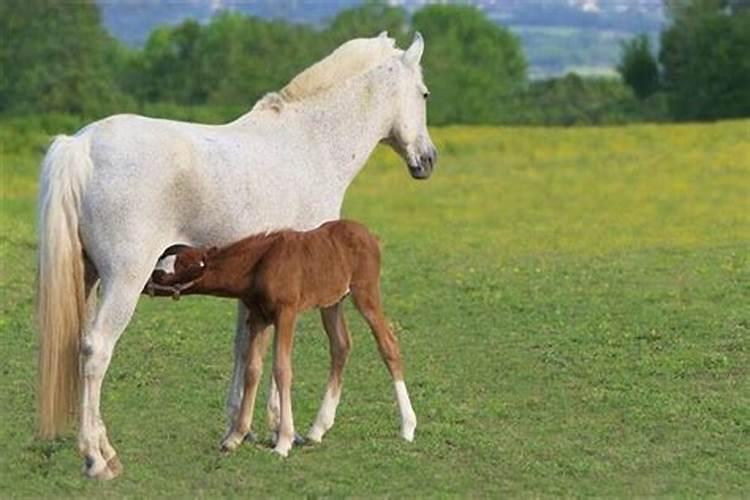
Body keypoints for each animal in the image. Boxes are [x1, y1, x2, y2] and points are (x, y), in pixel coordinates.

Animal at [147, 219, 418, 458]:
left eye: (163, 273)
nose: (146, 283)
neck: (259, 264)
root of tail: (370, 235)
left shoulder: (286, 313)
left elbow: (282, 369)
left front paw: (283, 442)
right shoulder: (259, 317)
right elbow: (253, 369)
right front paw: (235, 437)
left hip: (365, 293)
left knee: (388, 344)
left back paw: (407, 427)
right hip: (332, 301)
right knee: (341, 346)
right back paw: (317, 429)